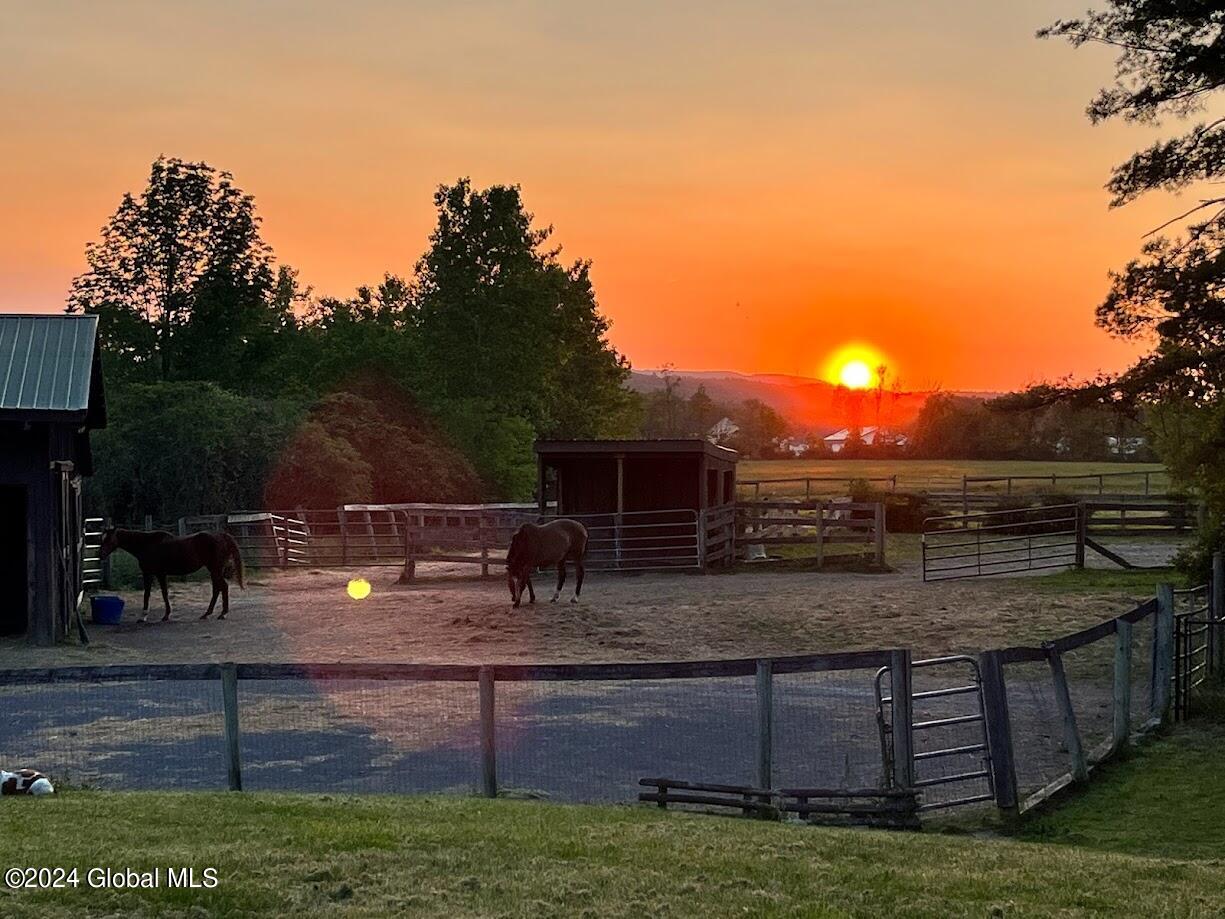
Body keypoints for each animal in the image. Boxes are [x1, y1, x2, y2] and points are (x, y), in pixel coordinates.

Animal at [101, 529, 245, 622]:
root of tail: (221, 535)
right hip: (214, 570)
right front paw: (166, 614)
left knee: (223, 587)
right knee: (217, 589)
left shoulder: (151, 574)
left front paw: (145, 616)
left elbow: (150, 594)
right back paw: (207, 614)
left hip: (215, 569)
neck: (146, 544)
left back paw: (222, 614)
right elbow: (164, 593)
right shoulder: (160, 574)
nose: (101, 555)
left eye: (109, 539)